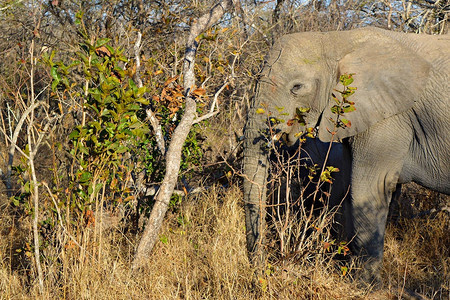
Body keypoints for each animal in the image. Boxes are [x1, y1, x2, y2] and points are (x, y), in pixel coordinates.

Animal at [243, 26, 450, 284]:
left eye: (297, 87)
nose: (263, 270)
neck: (337, 39)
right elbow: (348, 190)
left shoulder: (388, 117)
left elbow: (370, 189)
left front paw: (364, 284)